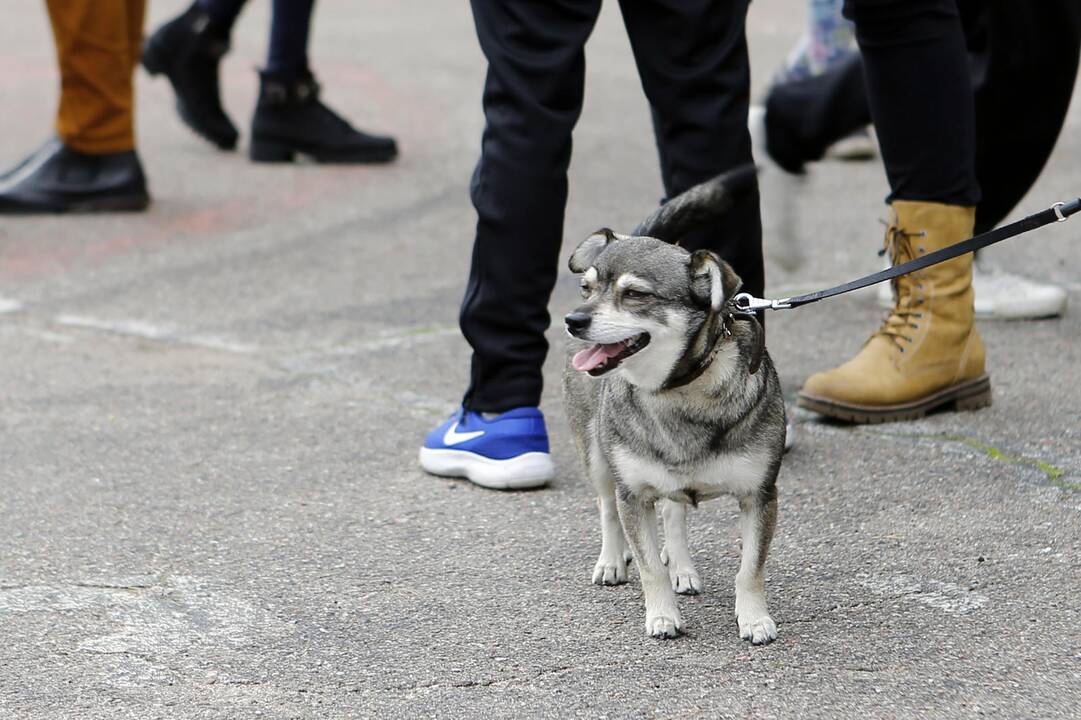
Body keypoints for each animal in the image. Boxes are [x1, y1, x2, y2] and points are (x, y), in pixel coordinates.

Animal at [562, 166, 782, 640]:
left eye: (635, 294)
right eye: (587, 288)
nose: (573, 320)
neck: (676, 389)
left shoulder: (759, 496)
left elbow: (750, 569)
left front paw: (754, 619)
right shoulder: (633, 494)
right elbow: (649, 568)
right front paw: (662, 616)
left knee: (674, 514)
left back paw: (683, 567)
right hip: (597, 457)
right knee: (607, 508)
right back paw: (612, 561)